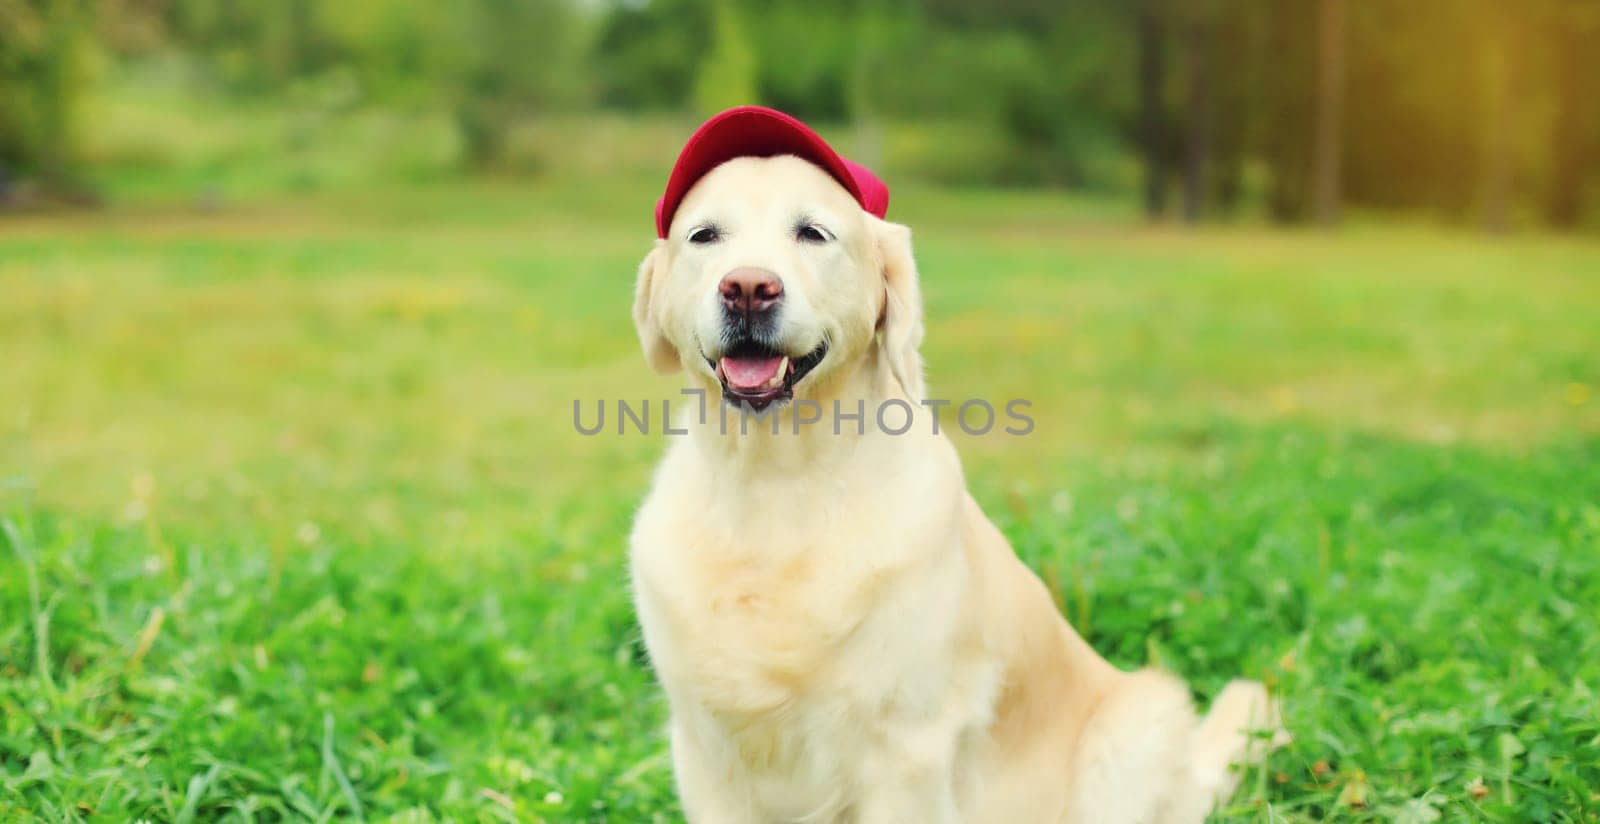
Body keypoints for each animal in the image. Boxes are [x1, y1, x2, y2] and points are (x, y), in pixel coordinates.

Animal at [627, 111, 1286, 824]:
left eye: (812, 232)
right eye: (704, 236)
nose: (748, 287)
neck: (776, 483)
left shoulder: (905, 750)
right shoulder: (703, 749)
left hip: (1138, 727)